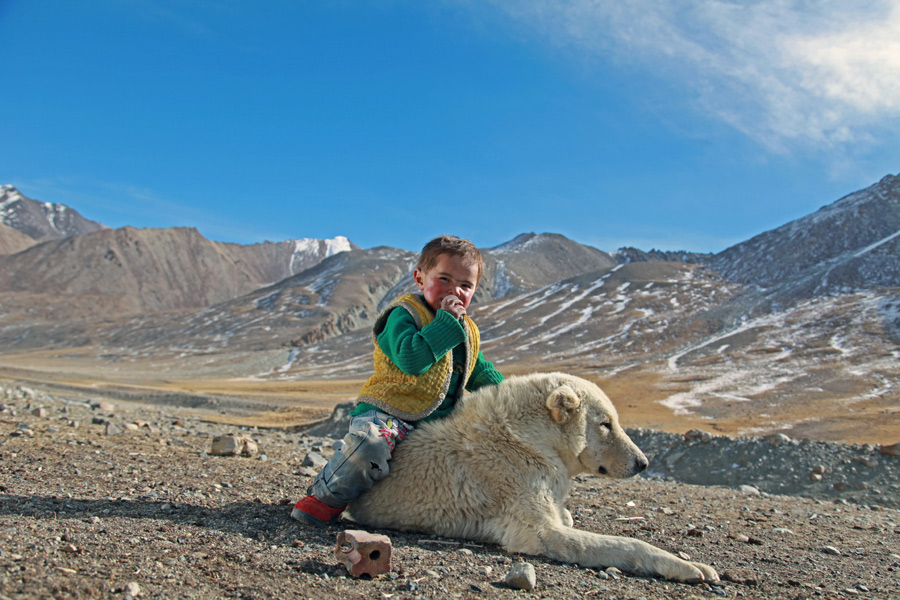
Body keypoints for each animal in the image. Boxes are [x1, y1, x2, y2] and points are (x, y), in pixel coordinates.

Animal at [348, 372, 720, 584]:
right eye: (606, 424)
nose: (642, 462)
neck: (531, 438)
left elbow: (565, 515)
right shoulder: (521, 500)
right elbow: (609, 542)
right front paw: (691, 566)